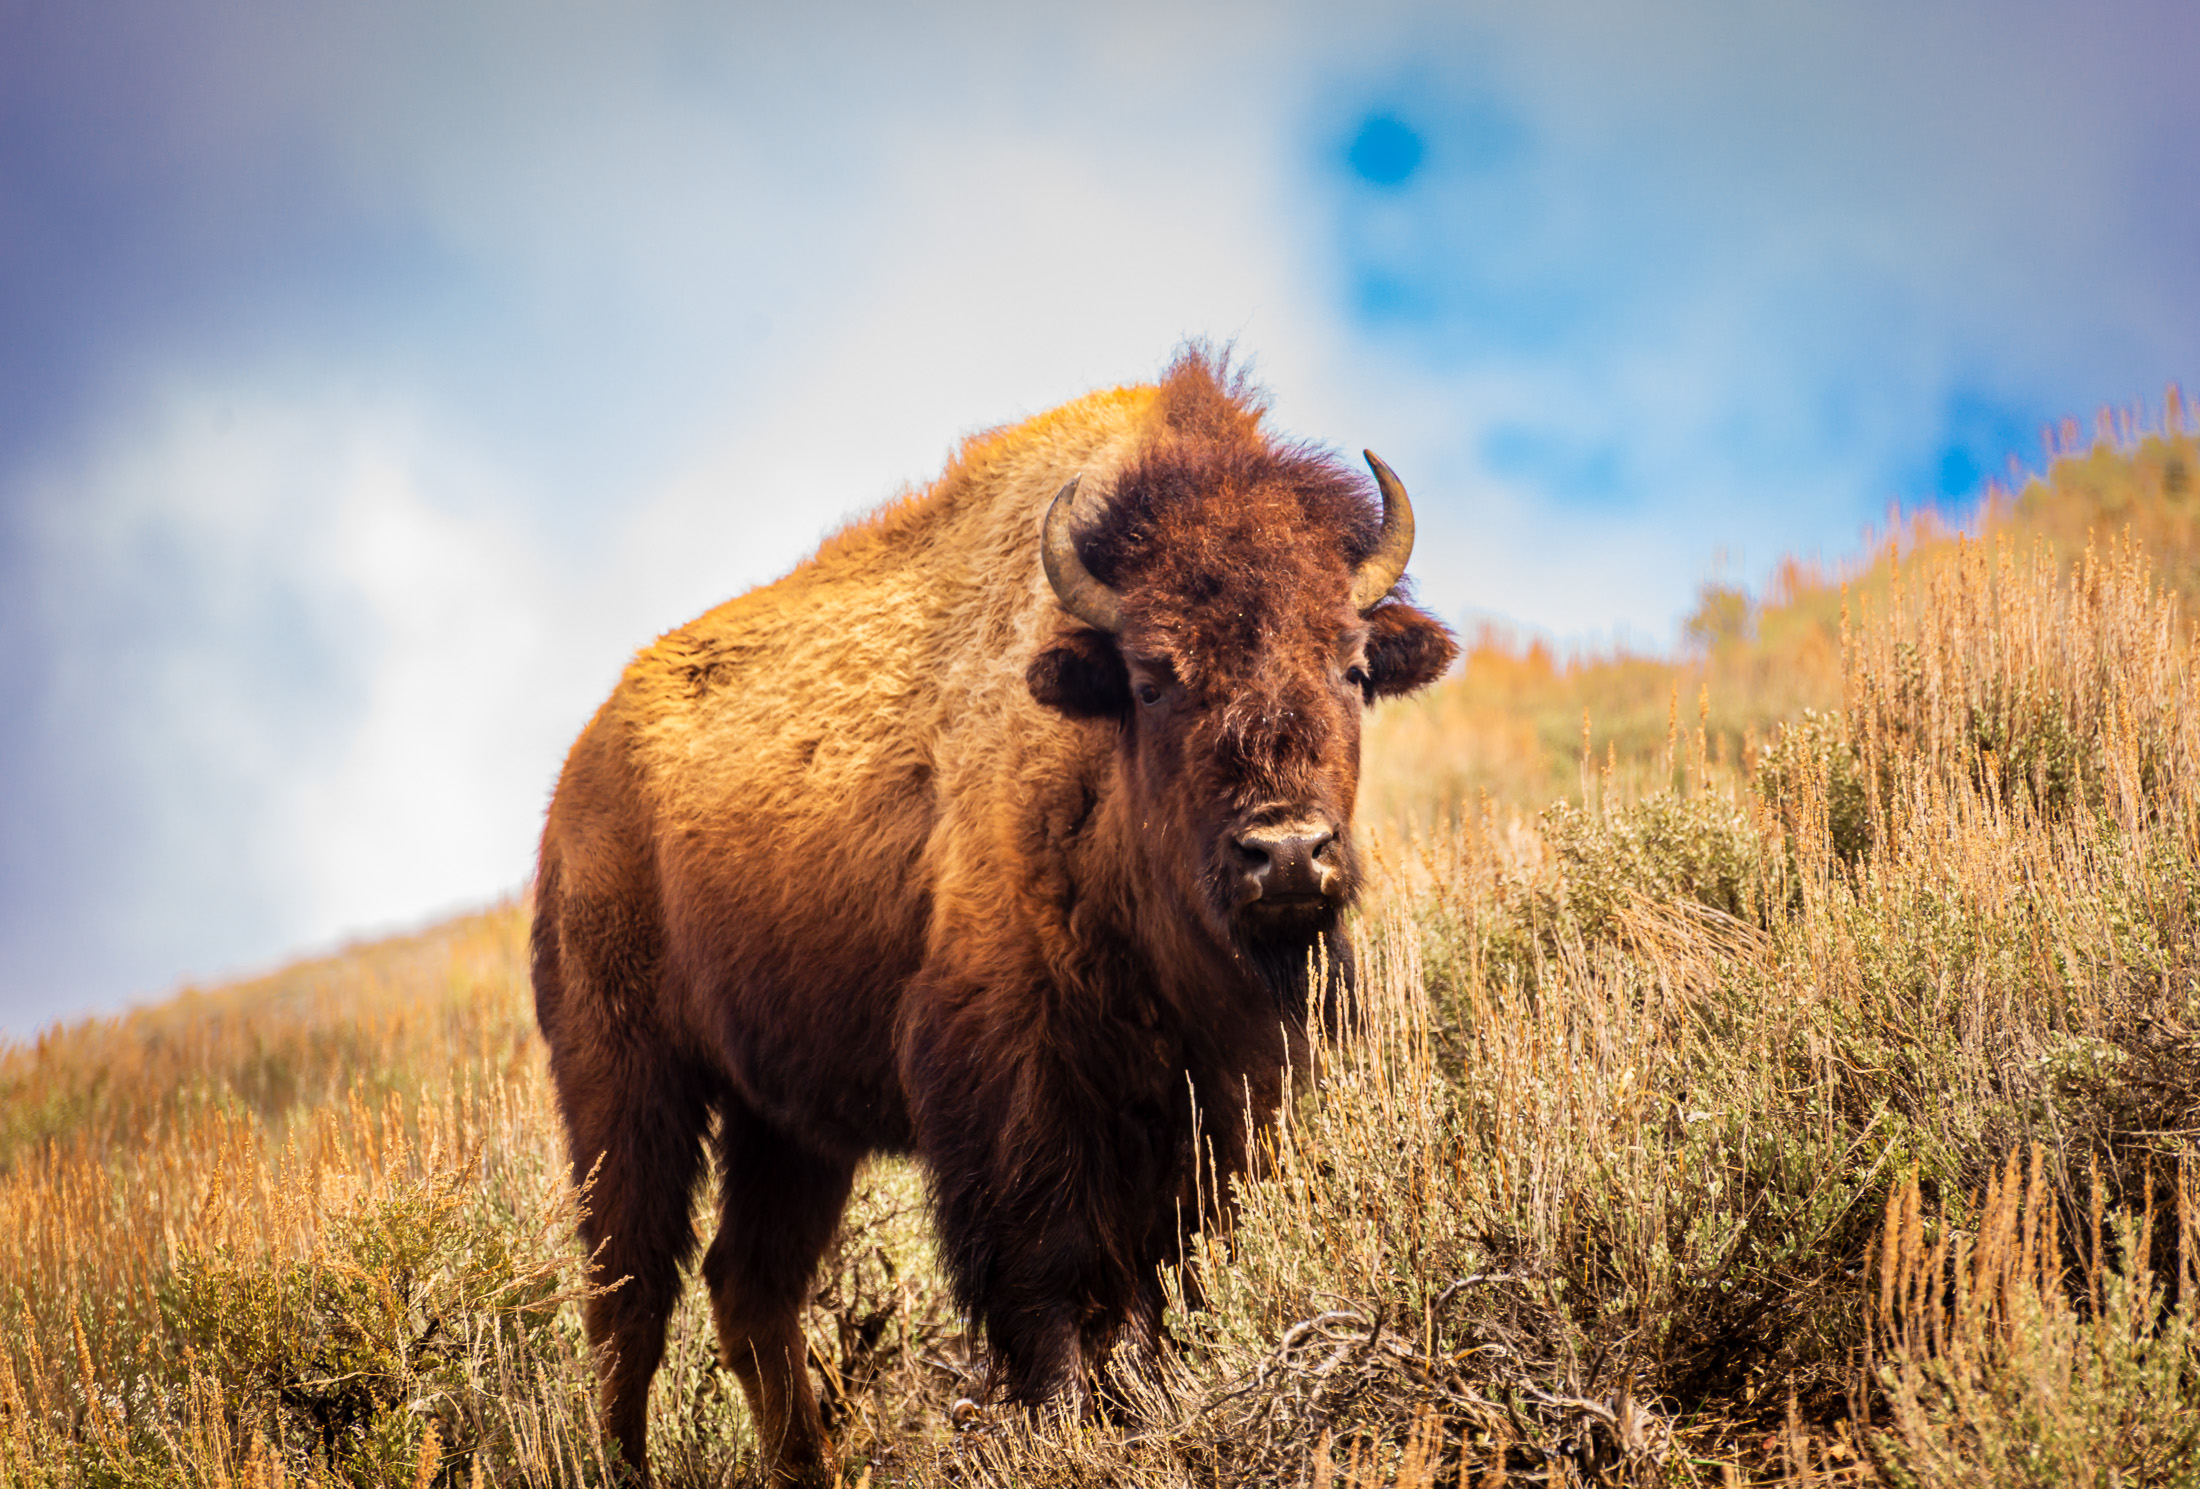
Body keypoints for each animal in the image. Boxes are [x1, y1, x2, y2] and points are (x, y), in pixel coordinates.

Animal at [531, 349, 1457, 1482]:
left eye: (1352, 664)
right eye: (1153, 677)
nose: (1285, 851)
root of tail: (580, 774)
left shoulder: (1229, 1084)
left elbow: (1168, 1274)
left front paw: (1148, 1405)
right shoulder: (1011, 1074)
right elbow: (1053, 1270)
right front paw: (1066, 1422)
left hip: (785, 1127)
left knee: (747, 1285)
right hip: (623, 1084)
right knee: (628, 1295)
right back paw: (620, 1460)